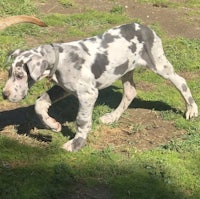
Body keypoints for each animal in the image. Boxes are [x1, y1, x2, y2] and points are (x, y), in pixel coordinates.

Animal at [2, 22, 198, 152]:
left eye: (20, 75)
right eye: (9, 72)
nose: (4, 94)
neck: (60, 59)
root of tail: (144, 27)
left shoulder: (88, 94)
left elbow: (82, 120)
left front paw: (76, 143)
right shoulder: (63, 88)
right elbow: (39, 103)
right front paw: (52, 125)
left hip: (159, 64)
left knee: (180, 81)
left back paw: (191, 109)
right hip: (126, 69)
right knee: (130, 92)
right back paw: (112, 117)